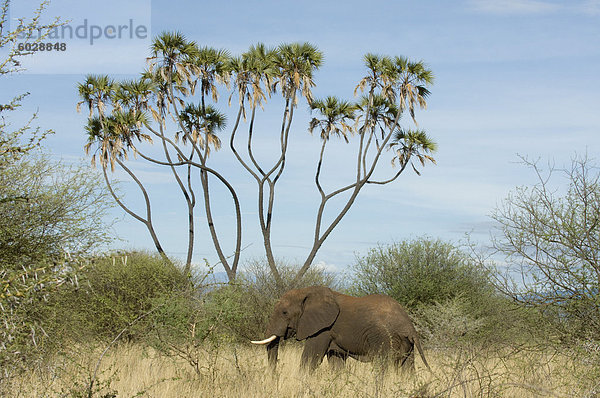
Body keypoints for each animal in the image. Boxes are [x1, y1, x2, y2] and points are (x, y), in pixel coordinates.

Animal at [251, 284, 428, 372]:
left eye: (284, 312)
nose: (274, 377)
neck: (308, 292)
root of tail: (409, 326)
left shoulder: (323, 329)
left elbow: (310, 359)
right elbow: (336, 362)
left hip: (384, 338)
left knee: (382, 367)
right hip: (406, 344)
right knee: (407, 368)